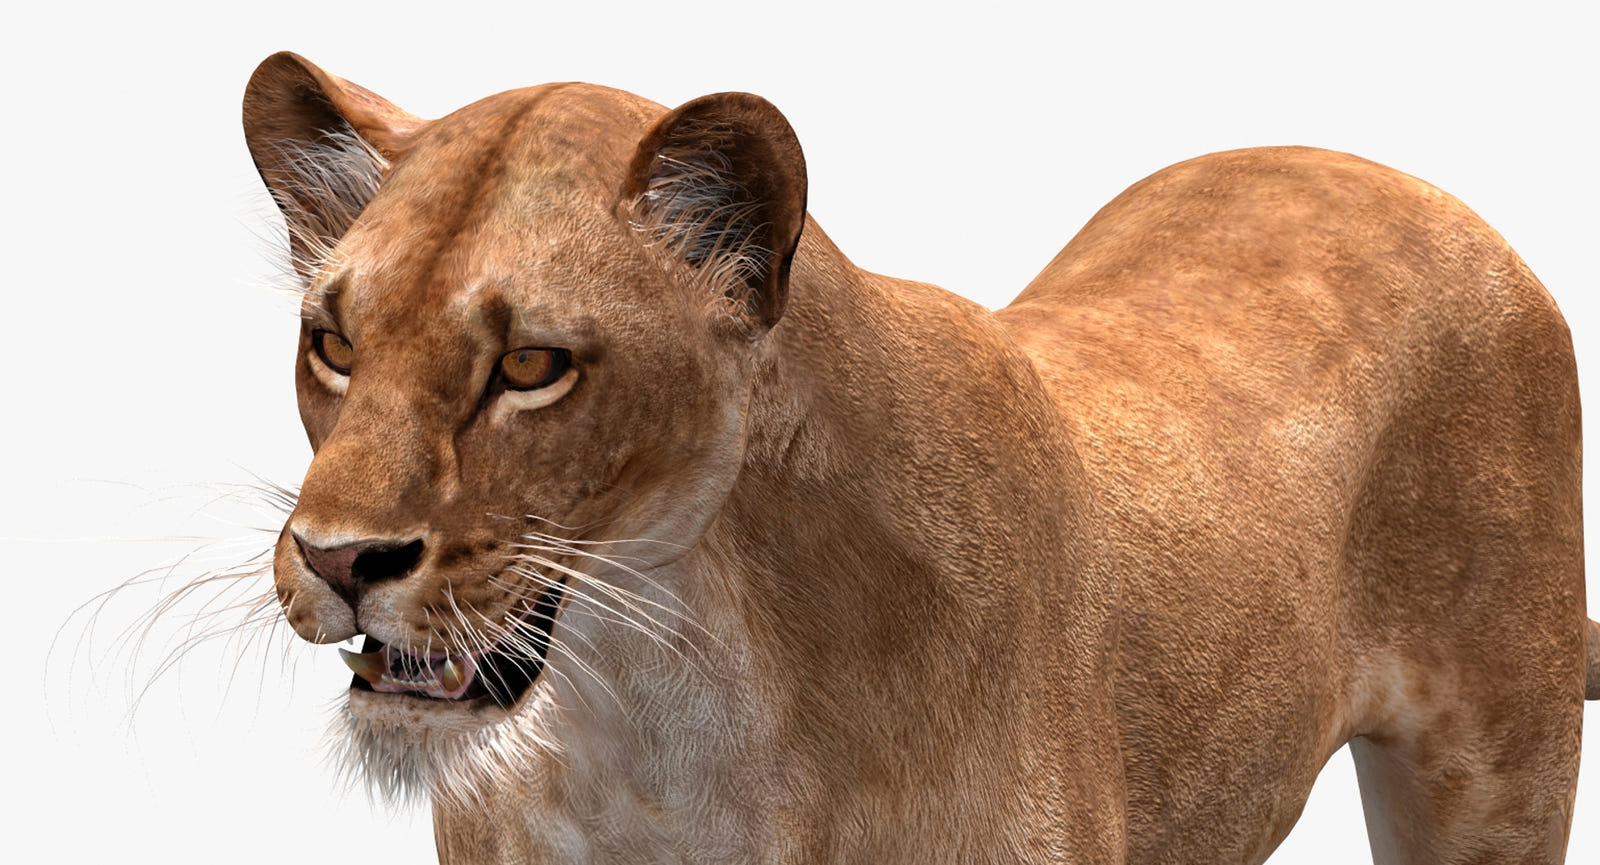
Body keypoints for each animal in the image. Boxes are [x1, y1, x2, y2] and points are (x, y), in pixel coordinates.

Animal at [242, 52, 1598, 864]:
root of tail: (1398, 177)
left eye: (530, 366)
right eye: (335, 342)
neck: (662, 703)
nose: (340, 559)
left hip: (1495, 780)